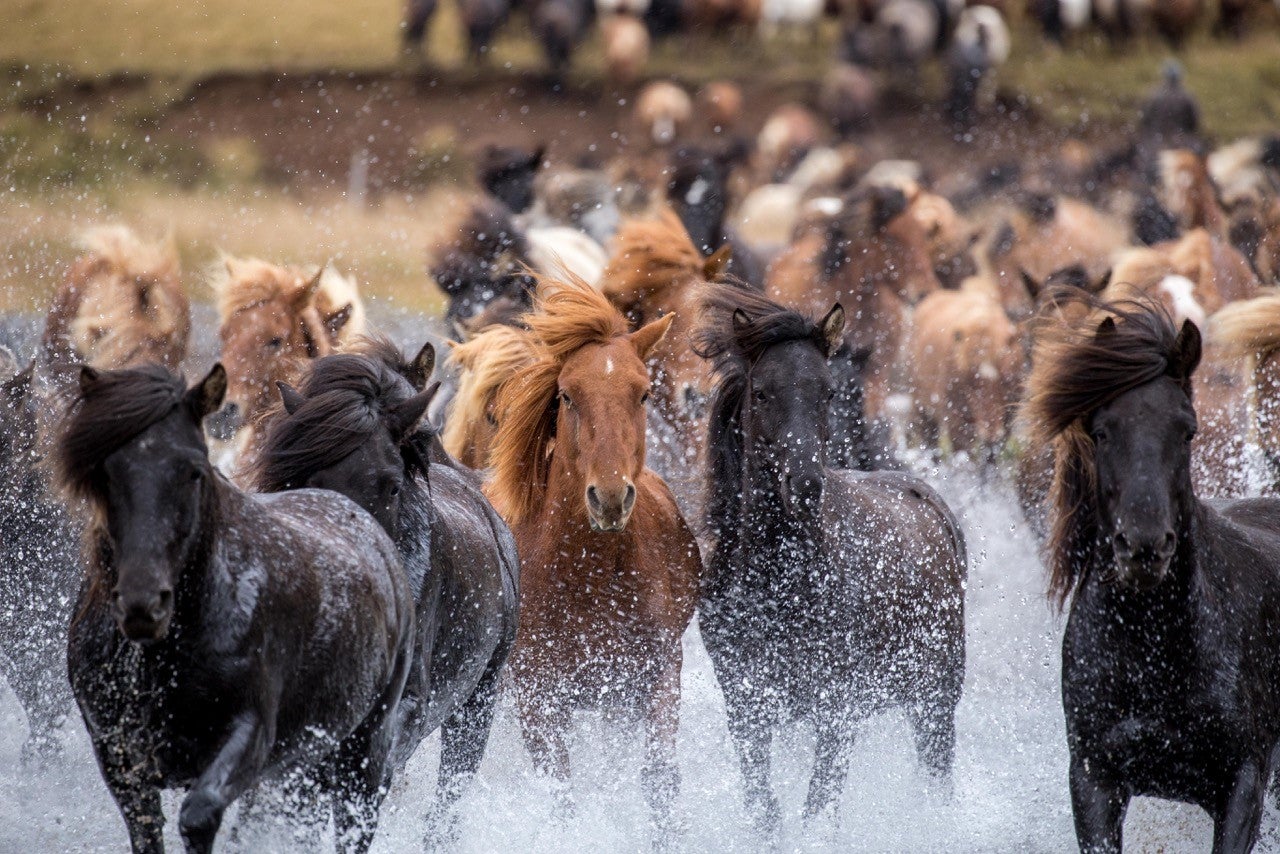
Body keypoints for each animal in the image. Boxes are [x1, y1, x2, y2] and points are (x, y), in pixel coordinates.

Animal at [58, 364, 413, 853]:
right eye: (103, 471)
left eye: (194, 471)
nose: (142, 604)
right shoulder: (119, 756)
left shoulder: (250, 735)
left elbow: (199, 816)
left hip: (364, 752)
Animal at [486, 275, 701, 844]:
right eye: (567, 394)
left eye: (643, 392)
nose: (608, 497)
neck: (589, 579)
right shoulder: (537, 697)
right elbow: (561, 792)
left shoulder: (653, 677)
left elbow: (658, 778)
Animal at [694, 283, 967, 838]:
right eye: (762, 393)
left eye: (827, 393)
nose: (804, 485)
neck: (780, 585)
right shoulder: (747, 708)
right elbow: (766, 809)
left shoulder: (836, 711)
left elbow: (816, 810)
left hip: (936, 699)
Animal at [1022, 292, 1280, 854]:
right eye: (1101, 430)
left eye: (1187, 430)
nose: (1142, 546)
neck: (1154, 652)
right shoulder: (1095, 779)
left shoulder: (1245, 777)